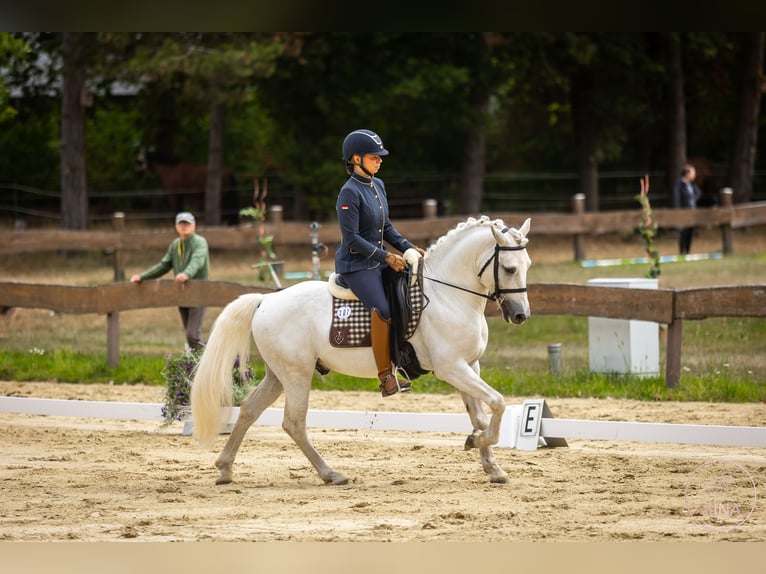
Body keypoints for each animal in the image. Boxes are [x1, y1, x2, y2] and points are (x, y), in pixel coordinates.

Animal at [191, 215, 532, 485]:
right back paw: (331, 474)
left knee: (249, 409)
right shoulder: (452, 368)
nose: (520, 315)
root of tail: (266, 299)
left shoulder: (470, 366)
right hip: (297, 374)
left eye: (527, 265)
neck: (448, 295)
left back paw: (225, 469)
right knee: (293, 422)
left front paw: (491, 465)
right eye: (509, 268)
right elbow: (498, 403)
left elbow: (481, 416)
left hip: (279, 374)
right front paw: (478, 443)